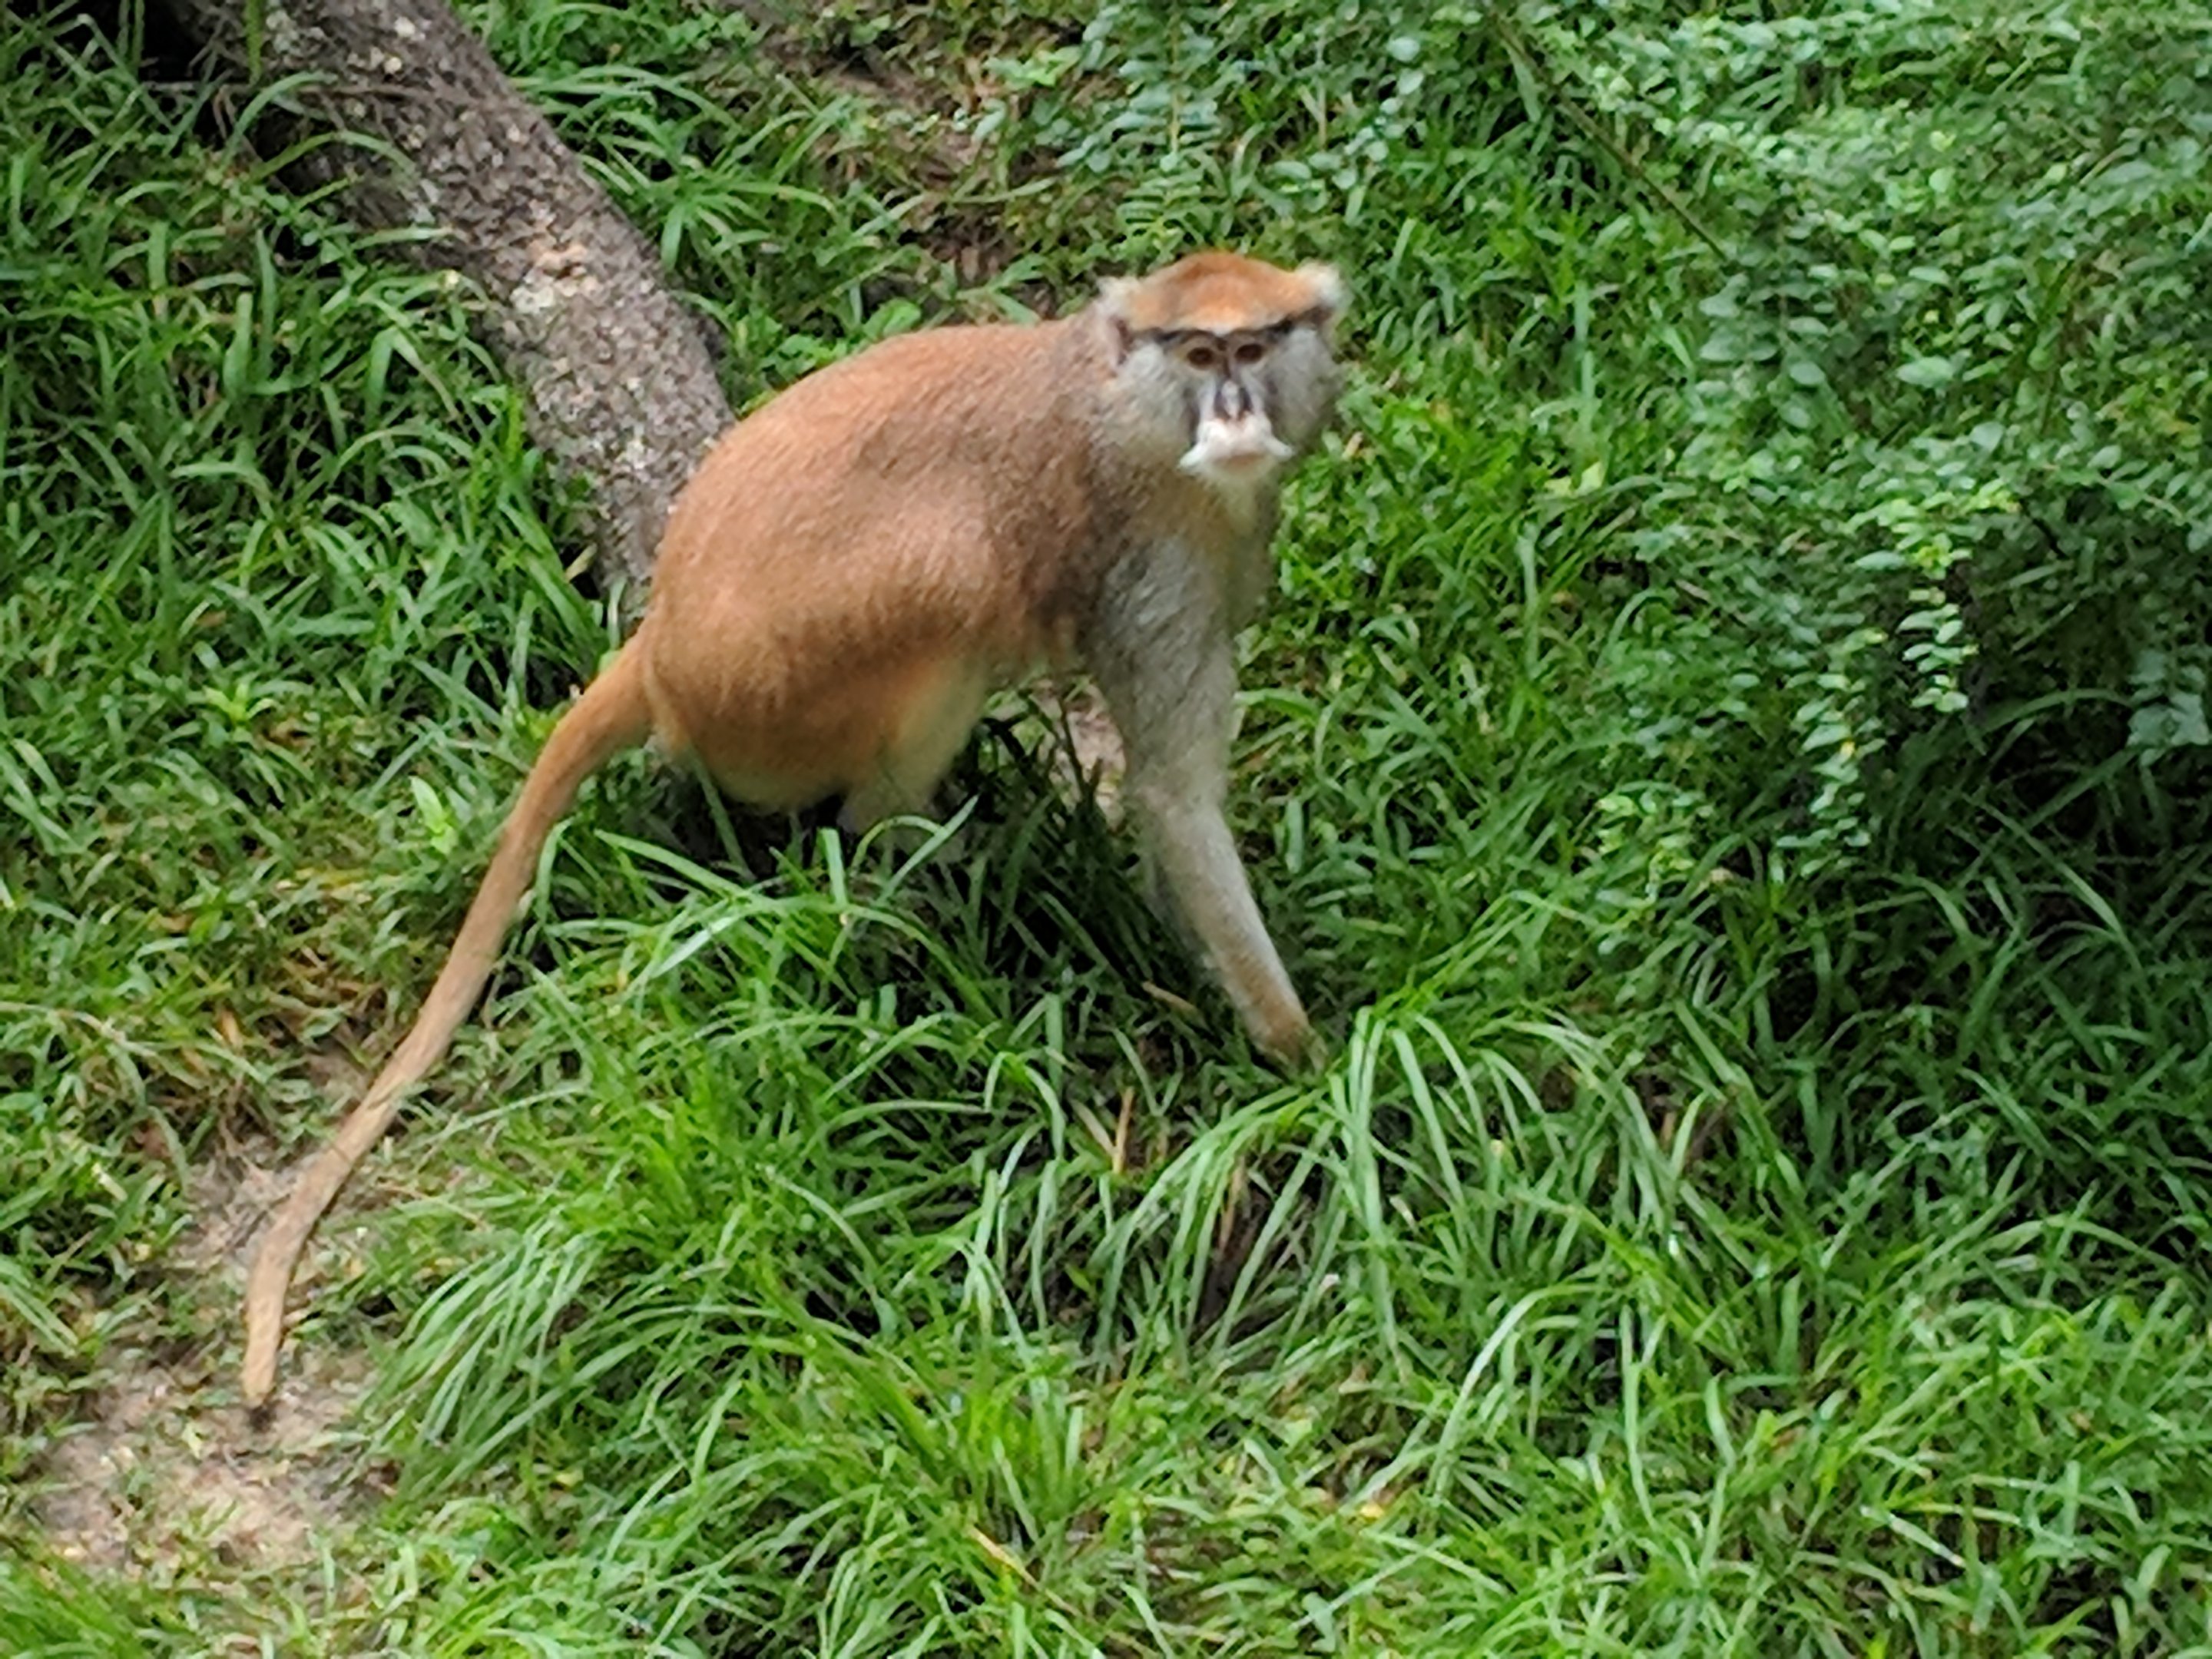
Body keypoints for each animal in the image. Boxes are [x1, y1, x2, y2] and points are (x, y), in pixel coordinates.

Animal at [240, 251, 1347, 1408]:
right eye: (1200, 353)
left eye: (1255, 346)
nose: (1234, 409)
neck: (1124, 401)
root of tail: (661, 649)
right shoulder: (1149, 557)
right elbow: (1175, 795)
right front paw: (1304, 1062)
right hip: (789, 687)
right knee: (945, 605)